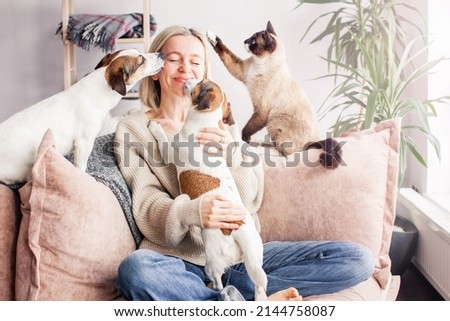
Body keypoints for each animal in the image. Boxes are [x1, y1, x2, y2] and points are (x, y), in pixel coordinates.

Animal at [148, 78, 268, 300]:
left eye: (201, 82)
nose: (188, 78)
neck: (205, 120)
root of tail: (239, 229)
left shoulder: (170, 151)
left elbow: (163, 140)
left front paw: (156, 127)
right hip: (256, 256)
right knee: (258, 286)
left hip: (212, 260)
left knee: (219, 281)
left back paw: (215, 288)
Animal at [207, 20, 342, 168]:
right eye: (250, 37)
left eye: (253, 41)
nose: (244, 41)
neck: (259, 65)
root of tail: (314, 141)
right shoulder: (240, 70)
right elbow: (225, 52)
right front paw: (211, 36)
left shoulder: (261, 112)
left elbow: (246, 130)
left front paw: (245, 141)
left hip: (274, 123)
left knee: (287, 154)